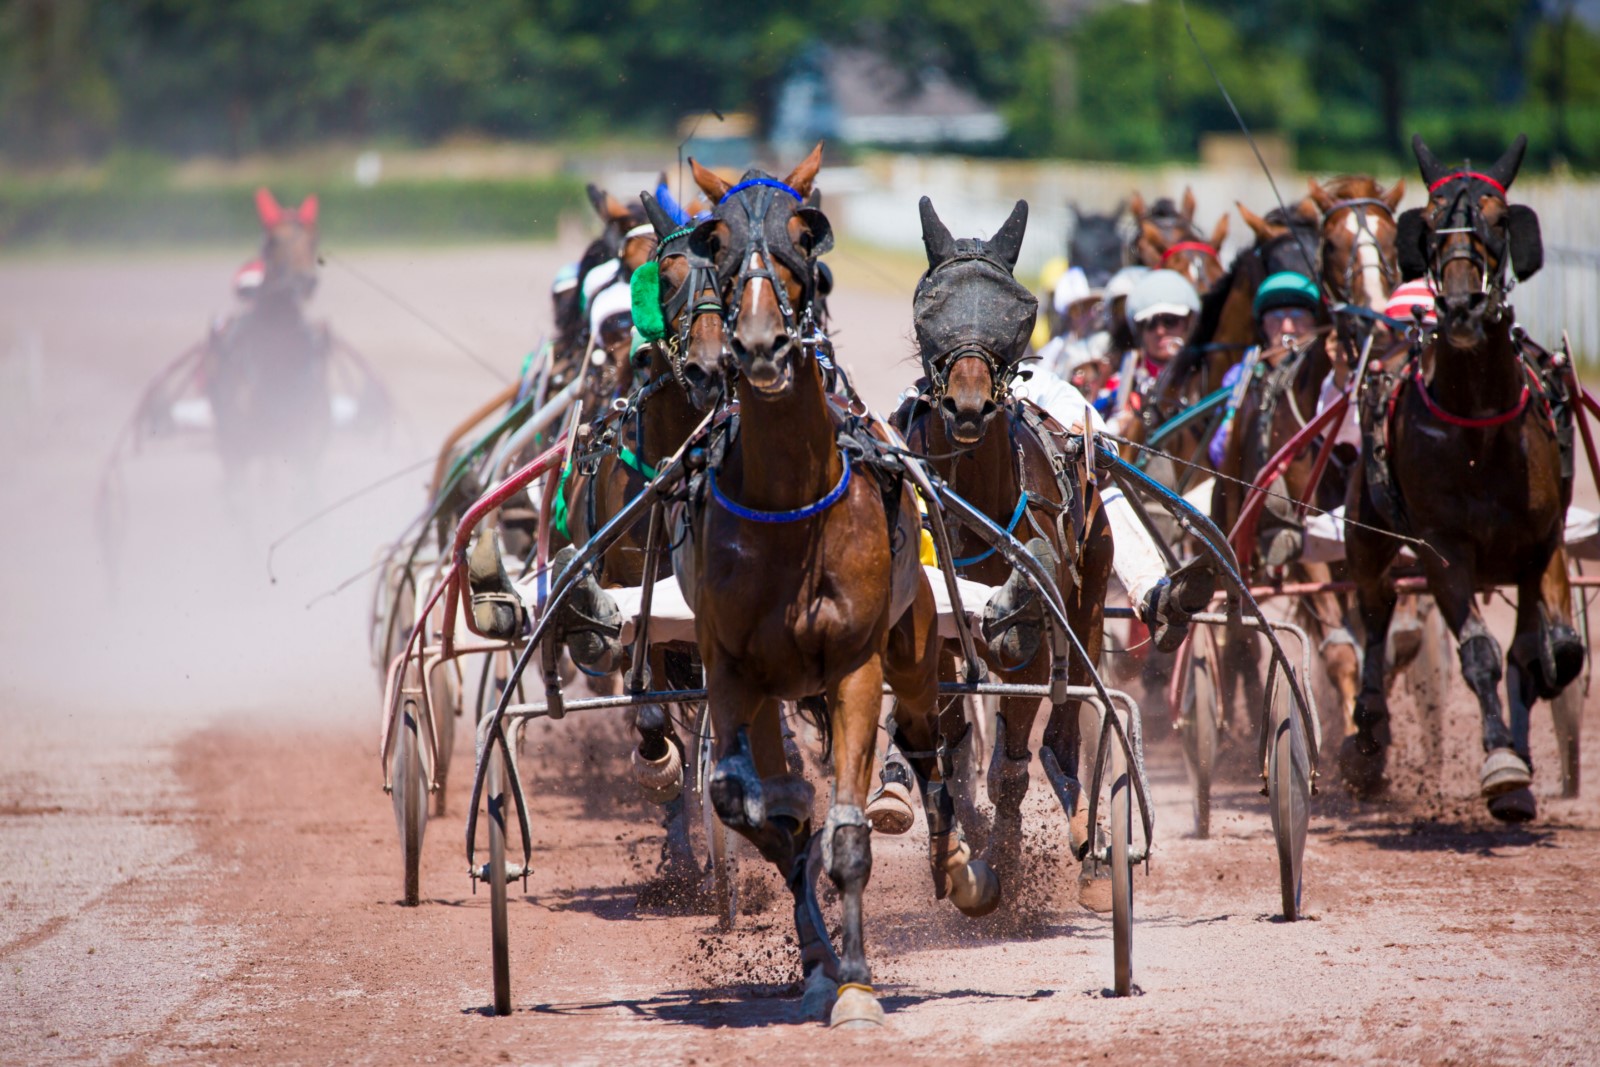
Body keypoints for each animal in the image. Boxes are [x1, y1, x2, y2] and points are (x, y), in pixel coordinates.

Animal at [678, 150, 998, 1023]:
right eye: (715, 238)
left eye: (806, 235)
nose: (758, 342)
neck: (791, 498)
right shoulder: (731, 665)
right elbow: (748, 805)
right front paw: (823, 956)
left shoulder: (855, 664)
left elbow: (852, 832)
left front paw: (856, 981)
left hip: (913, 646)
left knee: (925, 739)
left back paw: (956, 863)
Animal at [889, 198, 1113, 883]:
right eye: (930, 309)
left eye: (1016, 309)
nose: (968, 405)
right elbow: (946, 738)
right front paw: (961, 840)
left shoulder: (1032, 639)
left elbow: (1010, 767)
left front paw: (1007, 872)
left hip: (1093, 578)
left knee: (1070, 703)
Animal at [1344, 131, 1580, 819]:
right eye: (1427, 224)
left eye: (1499, 222)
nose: (1459, 307)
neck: (1479, 425)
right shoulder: (1443, 548)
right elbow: (1477, 650)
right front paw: (1501, 764)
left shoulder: (1542, 542)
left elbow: (1553, 648)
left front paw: (1528, 731)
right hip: (1366, 529)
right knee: (1374, 607)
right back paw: (1369, 727)